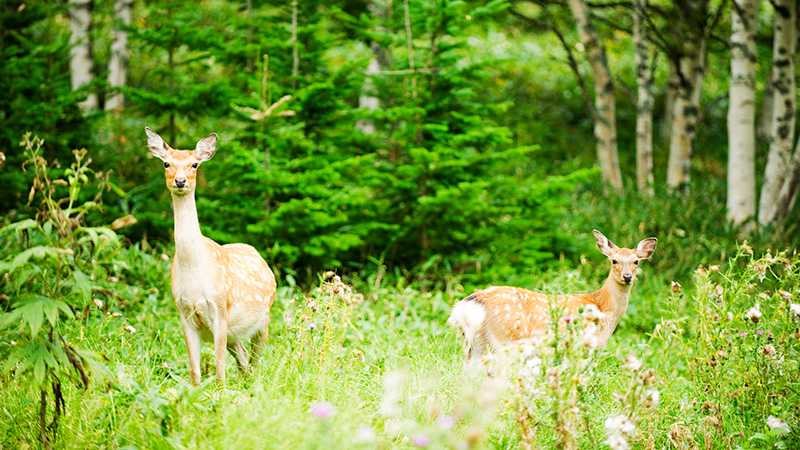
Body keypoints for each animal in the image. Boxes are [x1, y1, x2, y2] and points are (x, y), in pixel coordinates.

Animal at [145, 126, 276, 384]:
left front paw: (221, 391)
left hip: (263, 319)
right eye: (166, 163)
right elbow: (195, 372)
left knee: (255, 362)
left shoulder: (220, 307)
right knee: (244, 362)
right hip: (236, 334)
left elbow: (219, 369)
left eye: (194, 164)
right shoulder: (183, 312)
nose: (180, 181)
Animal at [450, 230, 656, 364]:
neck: (603, 308)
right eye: (614, 260)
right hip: (503, 340)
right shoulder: (583, 347)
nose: (627, 277)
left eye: (636, 261)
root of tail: (467, 306)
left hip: (475, 343)